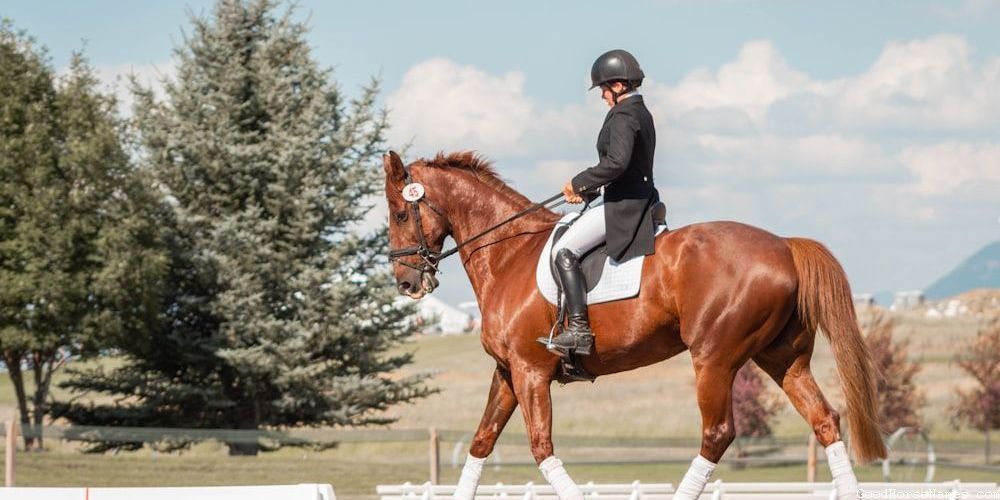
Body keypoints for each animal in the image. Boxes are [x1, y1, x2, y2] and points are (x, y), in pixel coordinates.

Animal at [382, 150, 886, 500]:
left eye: (401, 213)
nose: (407, 282)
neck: (508, 254)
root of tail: (783, 245)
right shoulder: (508, 372)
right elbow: (482, 442)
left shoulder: (530, 372)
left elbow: (542, 447)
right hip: (783, 358)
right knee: (824, 420)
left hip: (714, 359)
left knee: (717, 434)